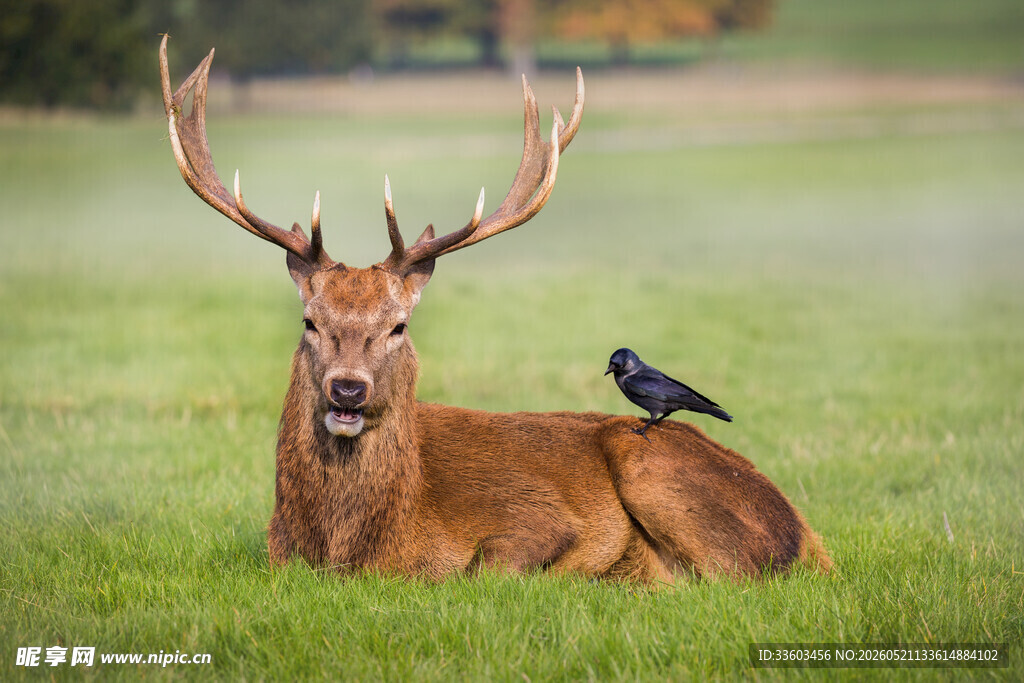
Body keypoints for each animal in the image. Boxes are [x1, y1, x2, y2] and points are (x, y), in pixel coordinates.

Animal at [159, 36, 831, 583]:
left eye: (399, 326)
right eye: (310, 321)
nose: (347, 390)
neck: (360, 549)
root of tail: (807, 536)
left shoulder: (542, 518)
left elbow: (492, 566)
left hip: (650, 464)